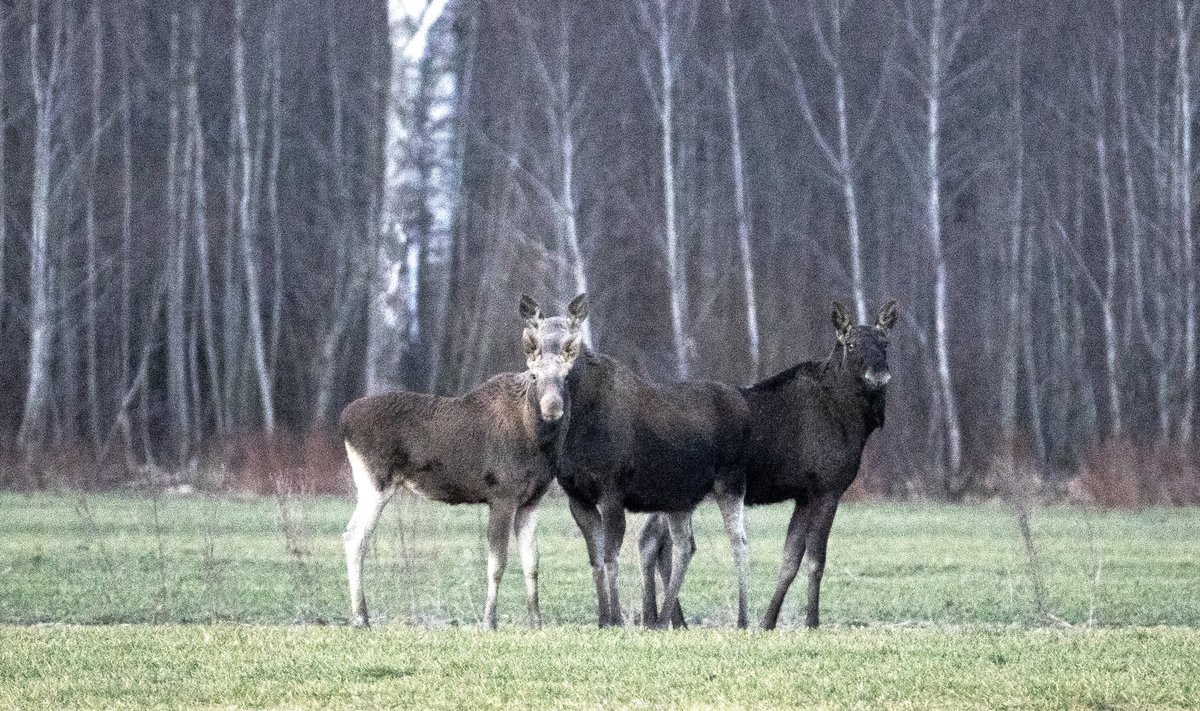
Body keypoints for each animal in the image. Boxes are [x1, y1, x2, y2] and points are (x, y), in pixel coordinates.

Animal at [338, 294, 585, 629]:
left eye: (566, 376)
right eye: (534, 375)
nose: (552, 408)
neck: (539, 444)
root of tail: (343, 420)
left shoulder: (532, 500)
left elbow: (532, 563)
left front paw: (536, 621)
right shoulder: (502, 494)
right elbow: (497, 563)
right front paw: (489, 621)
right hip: (373, 482)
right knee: (354, 537)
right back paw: (361, 617)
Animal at [528, 300, 748, 629]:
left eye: (571, 343)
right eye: (536, 343)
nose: (551, 406)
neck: (577, 430)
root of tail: (746, 407)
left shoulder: (612, 491)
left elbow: (611, 557)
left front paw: (617, 618)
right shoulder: (577, 496)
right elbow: (595, 558)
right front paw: (603, 618)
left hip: (730, 484)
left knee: (739, 542)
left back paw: (743, 619)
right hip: (679, 496)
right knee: (684, 546)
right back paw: (663, 620)